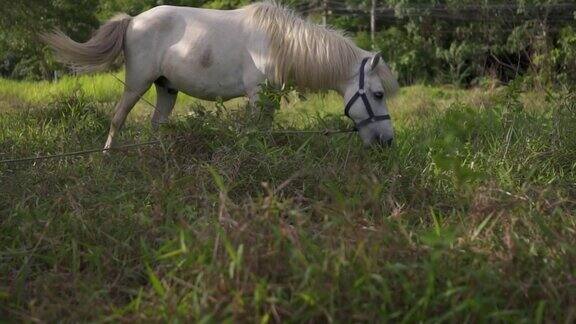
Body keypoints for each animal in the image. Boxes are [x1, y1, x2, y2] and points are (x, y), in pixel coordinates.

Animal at [41, 0, 400, 148]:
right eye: (379, 94)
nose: (387, 142)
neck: (279, 42)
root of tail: (133, 20)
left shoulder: (269, 97)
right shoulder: (258, 95)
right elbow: (257, 131)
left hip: (165, 88)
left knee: (157, 125)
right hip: (137, 83)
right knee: (117, 120)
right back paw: (105, 159)